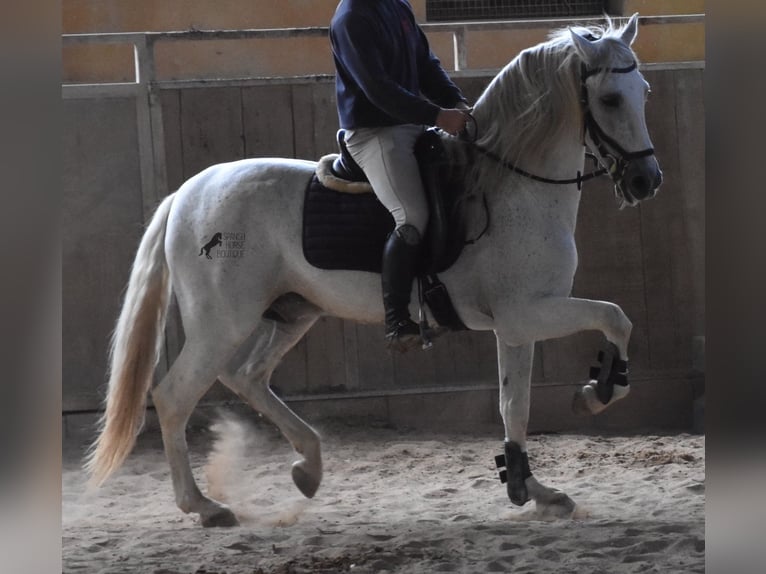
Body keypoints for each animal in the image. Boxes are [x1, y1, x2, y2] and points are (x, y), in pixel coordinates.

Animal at [82, 14, 660, 528]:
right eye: (610, 99)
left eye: (644, 92)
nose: (646, 181)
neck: (509, 187)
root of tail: (187, 192)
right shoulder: (527, 314)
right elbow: (616, 317)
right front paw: (599, 390)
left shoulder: (516, 326)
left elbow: (513, 405)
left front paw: (531, 489)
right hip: (221, 321)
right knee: (174, 397)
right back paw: (204, 507)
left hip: (293, 313)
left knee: (247, 376)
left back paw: (308, 468)